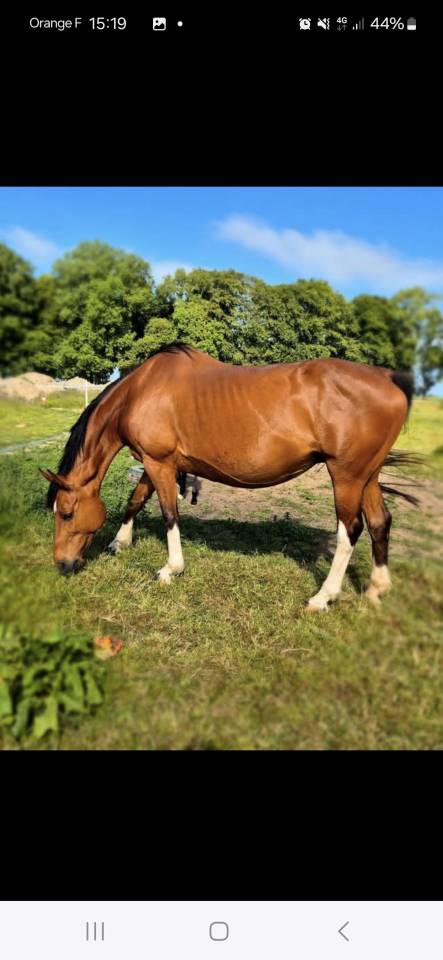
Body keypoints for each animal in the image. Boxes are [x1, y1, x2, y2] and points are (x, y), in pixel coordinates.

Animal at [40, 343, 417, 610]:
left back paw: (323, 597)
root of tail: (388, 379)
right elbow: (136, 500)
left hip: (346, 475)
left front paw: (170, 569)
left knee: (350, 531)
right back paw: (376, 590)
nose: (62, 565)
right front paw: (119, 543)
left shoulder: (159, 463)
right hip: (367, 475)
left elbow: (169, 514)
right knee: (380, 522)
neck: (141, 391)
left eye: (68, 513)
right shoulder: (157, 462)